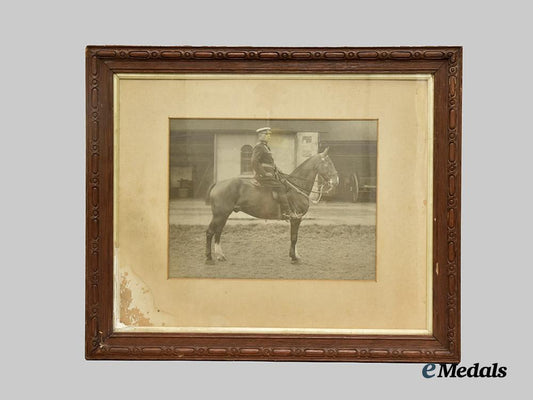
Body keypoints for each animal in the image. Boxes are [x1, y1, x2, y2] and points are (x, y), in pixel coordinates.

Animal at [206, 148, 338, 264]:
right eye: (328, 163)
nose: (336, 181)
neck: (296, 187)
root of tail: (218, 183)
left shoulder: (297, 219)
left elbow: (295, 237)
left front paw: (295, 255)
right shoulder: (296, 218)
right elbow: (294, 237)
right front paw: (294, 257)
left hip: (223, 215)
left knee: (218, 232)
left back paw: (220, 255)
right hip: (220, 215)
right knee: (210, 232)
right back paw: (209, 258)